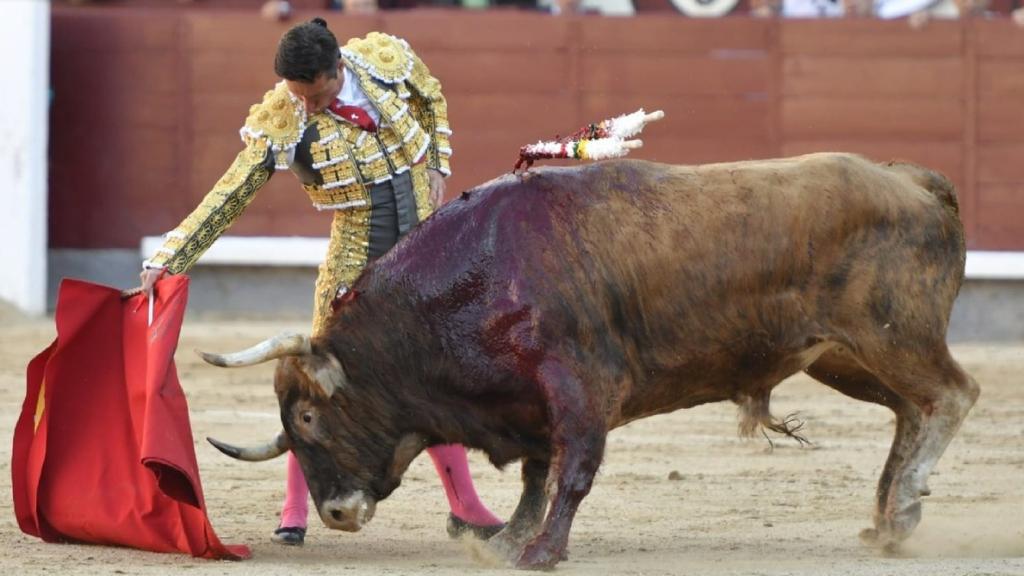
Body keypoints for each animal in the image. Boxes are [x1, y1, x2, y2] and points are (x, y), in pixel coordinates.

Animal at [203, 153, 978, 569]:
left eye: (309, 415)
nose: (335, 513)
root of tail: (912, 179)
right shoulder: (525, 404)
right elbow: (535, 476)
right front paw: (507, 542)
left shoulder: (578, 388)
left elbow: (570, 472)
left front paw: (541, 552)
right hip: (844, 360)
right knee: (912, 411)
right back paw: (890, 520)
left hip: (891, 337)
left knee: (953, 394)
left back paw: (905, 502)